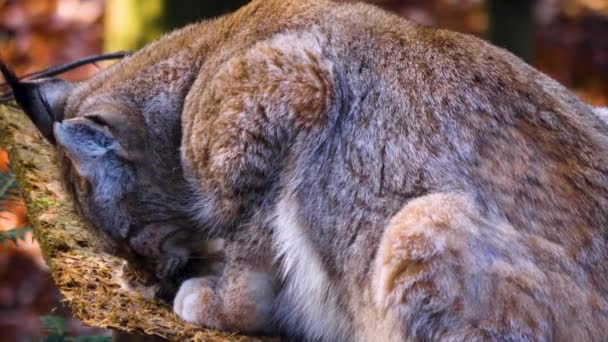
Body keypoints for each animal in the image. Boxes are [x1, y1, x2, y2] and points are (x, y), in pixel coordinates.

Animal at [3, 0, 608, 340]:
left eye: (131, 237)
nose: (147, 279)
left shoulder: (292, 91)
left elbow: (252, 241)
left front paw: (224, 304)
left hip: (418, 222)